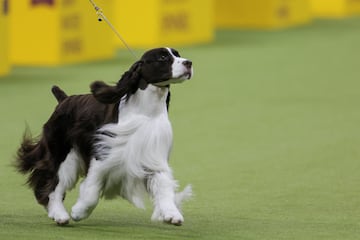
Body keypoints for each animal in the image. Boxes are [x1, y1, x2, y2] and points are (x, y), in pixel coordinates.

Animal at [15, 47, 193, 226]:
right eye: (162, 57)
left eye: (177, 54)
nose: (189, 63)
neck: (146, 113)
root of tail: (64, 100)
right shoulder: (104, 154)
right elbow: (91, 191)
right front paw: (79, 212)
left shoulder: (153, 156)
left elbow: (163, 187)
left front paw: (172, 214)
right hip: (61, 153)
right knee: (53, 185)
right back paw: (60, 215)